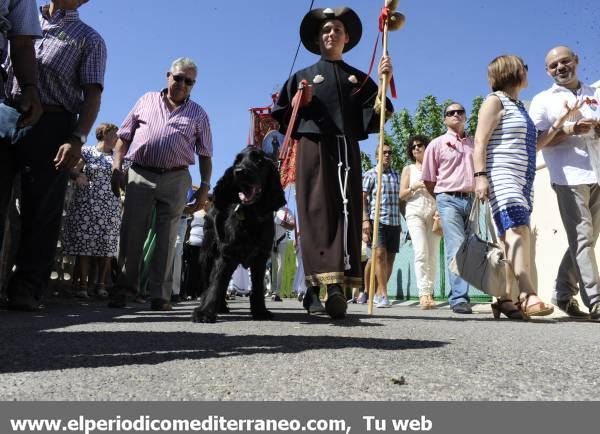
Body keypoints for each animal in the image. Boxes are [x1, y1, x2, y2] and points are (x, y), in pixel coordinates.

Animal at [192, 147, 286, 322]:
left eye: (259, 160)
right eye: (237, 161)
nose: (239, 171)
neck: (251, 216)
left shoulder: (260, 258)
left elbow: (257, 287)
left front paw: (260, 312)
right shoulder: (226, 254)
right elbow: (216, 284)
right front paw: (204, 312)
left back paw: (222, 306)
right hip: (208, 254)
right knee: (209, 281)